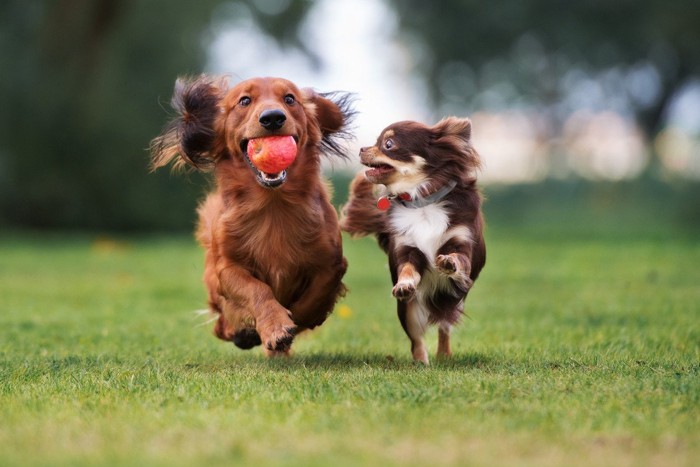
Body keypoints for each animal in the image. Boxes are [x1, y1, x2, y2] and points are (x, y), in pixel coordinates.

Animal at [150, 77, 352, 356]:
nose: (273, 118)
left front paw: (295, 321)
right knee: (221, 325)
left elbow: (314, 297)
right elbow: (257, 290)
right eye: (244, 100)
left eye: (290, 98)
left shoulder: (332, 262)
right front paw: (275, 326)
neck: (273, 205)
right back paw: (242, 333)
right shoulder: (227, 268)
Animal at [340, 118, 486, 366]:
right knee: (416, 340)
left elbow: (458, 258)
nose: (361, 148)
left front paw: (449, 263)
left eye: (388, 144)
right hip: (408, 311)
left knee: (444, 327)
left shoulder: (462, 243)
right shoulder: (407, 249)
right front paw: (405, 284)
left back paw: (444, 355)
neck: (422, 202)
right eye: (376, 141)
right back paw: (421, 363)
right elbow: (408, 269)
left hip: (454, 301)